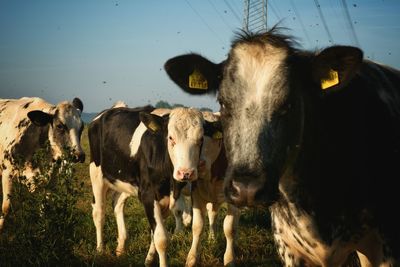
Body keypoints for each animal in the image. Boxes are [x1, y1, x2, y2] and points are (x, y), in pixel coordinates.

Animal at [0, 97, 84, 232]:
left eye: (81, 128)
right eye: (59, 126)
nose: (79, 155)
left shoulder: (51, 181)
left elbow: (45, 209)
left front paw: (44, 230)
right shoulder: (8, 173)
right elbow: (6, 207)